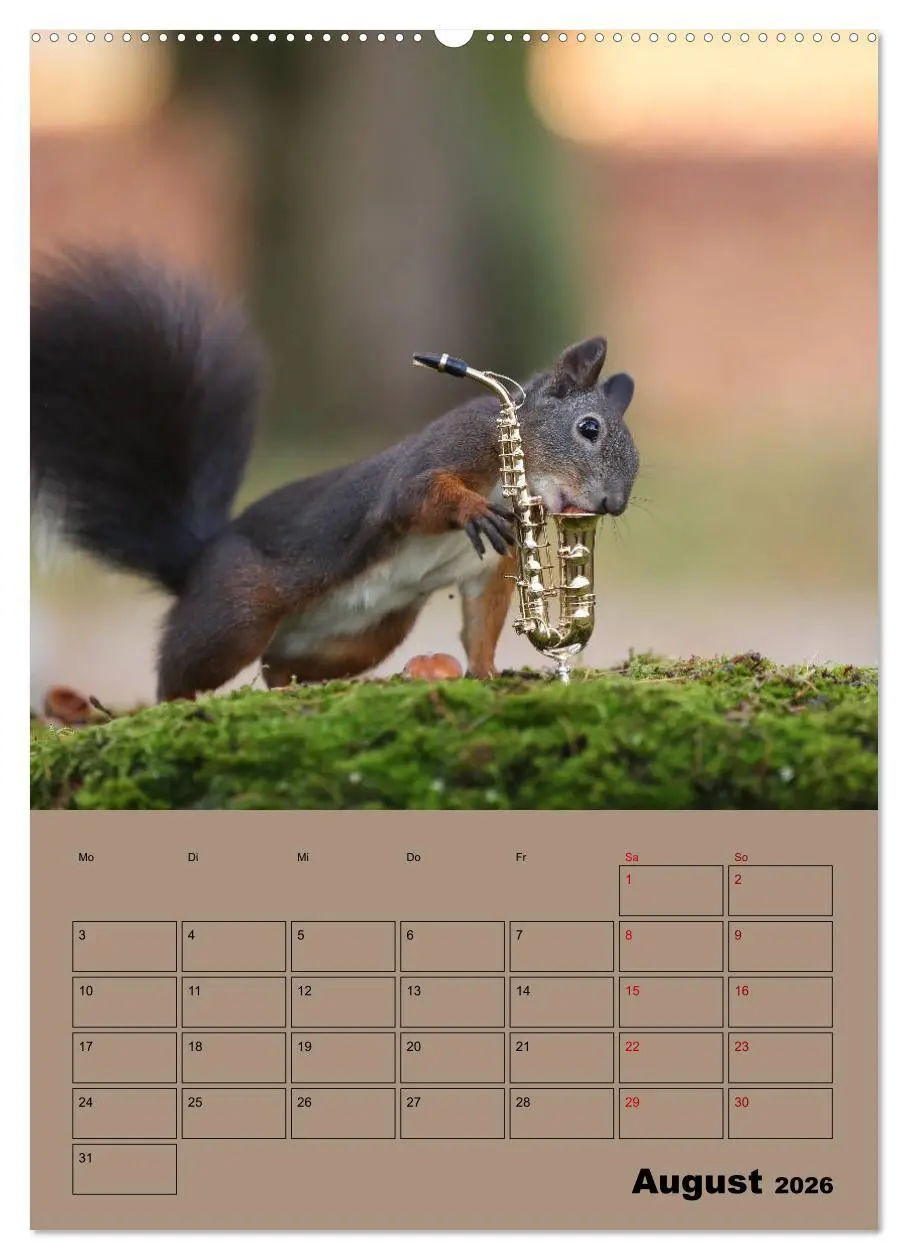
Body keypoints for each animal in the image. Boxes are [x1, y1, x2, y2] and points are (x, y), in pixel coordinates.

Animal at [31, 251, 639, 702]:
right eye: (588, 428)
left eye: (635, 459)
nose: (613, 505)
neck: (516, 478)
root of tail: (195, 562)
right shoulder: (450, 449)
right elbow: (413, 495)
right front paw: (471, 509)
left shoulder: (488, 572)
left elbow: (480, 625)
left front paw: (488, 675)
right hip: (235, 614)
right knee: (182, 669)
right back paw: (169, 706)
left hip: (363, 638)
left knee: (278, 667)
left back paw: (286, 692)